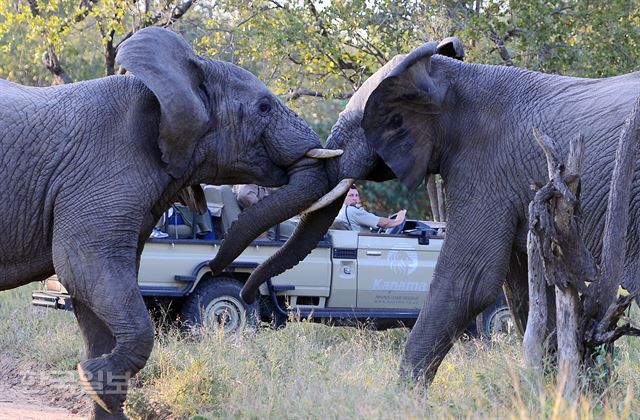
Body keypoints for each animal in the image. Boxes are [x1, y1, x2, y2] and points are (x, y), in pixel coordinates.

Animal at [0, 27, 340, 418]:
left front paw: (102, 391)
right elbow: (85, 266)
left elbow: (98, 293)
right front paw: (92, 377)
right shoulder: (101, 169)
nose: (239, 285)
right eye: (264, 107)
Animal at [234, 37, 640, 388]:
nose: (251, 294)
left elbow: (470, 280)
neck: (450, 79)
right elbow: (522, 288)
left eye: (362, 127)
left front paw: (401, 401)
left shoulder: (484, 166)